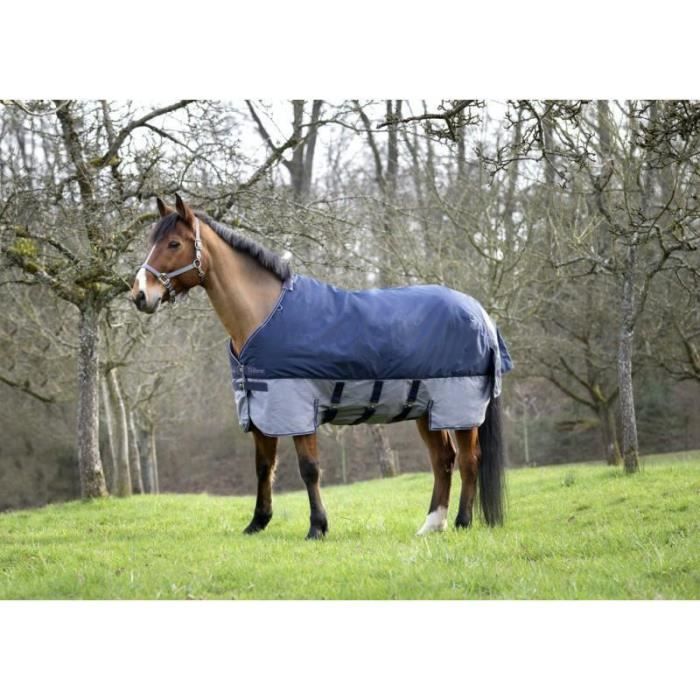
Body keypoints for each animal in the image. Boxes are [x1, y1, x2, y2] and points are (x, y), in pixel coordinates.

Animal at [131, 195, 512, 539]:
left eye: (174, 243)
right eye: (151, 242)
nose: (139, 295)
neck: (263, 315)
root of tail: (482, 315)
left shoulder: (297, 407)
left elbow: (309, 469)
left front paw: (317, 526)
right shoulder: (261, 408)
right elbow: (263, 467)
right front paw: (257, 523)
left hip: (460, 410)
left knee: (469, 460)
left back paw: (462, 522)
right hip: (427, 410)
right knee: (443, 460)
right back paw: (432, 525)